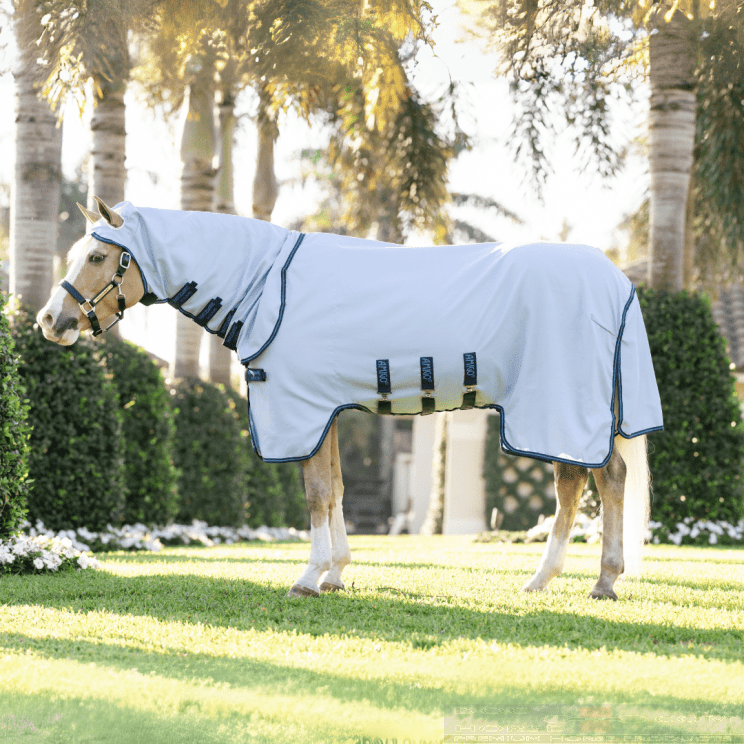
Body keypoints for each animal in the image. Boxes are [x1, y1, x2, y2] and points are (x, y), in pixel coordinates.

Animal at [37, 196, 663, 601]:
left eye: (96, 257)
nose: (50, 321)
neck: (268, 283)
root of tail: (616, 281)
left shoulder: (303, 410)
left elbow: (315, 495)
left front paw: (308, 579)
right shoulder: (327, 412)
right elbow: (335, 489)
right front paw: (336, 574)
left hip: (556, 406)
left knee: (582, 483)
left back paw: (570, 580)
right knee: (599, 481)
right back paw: (586, 581)